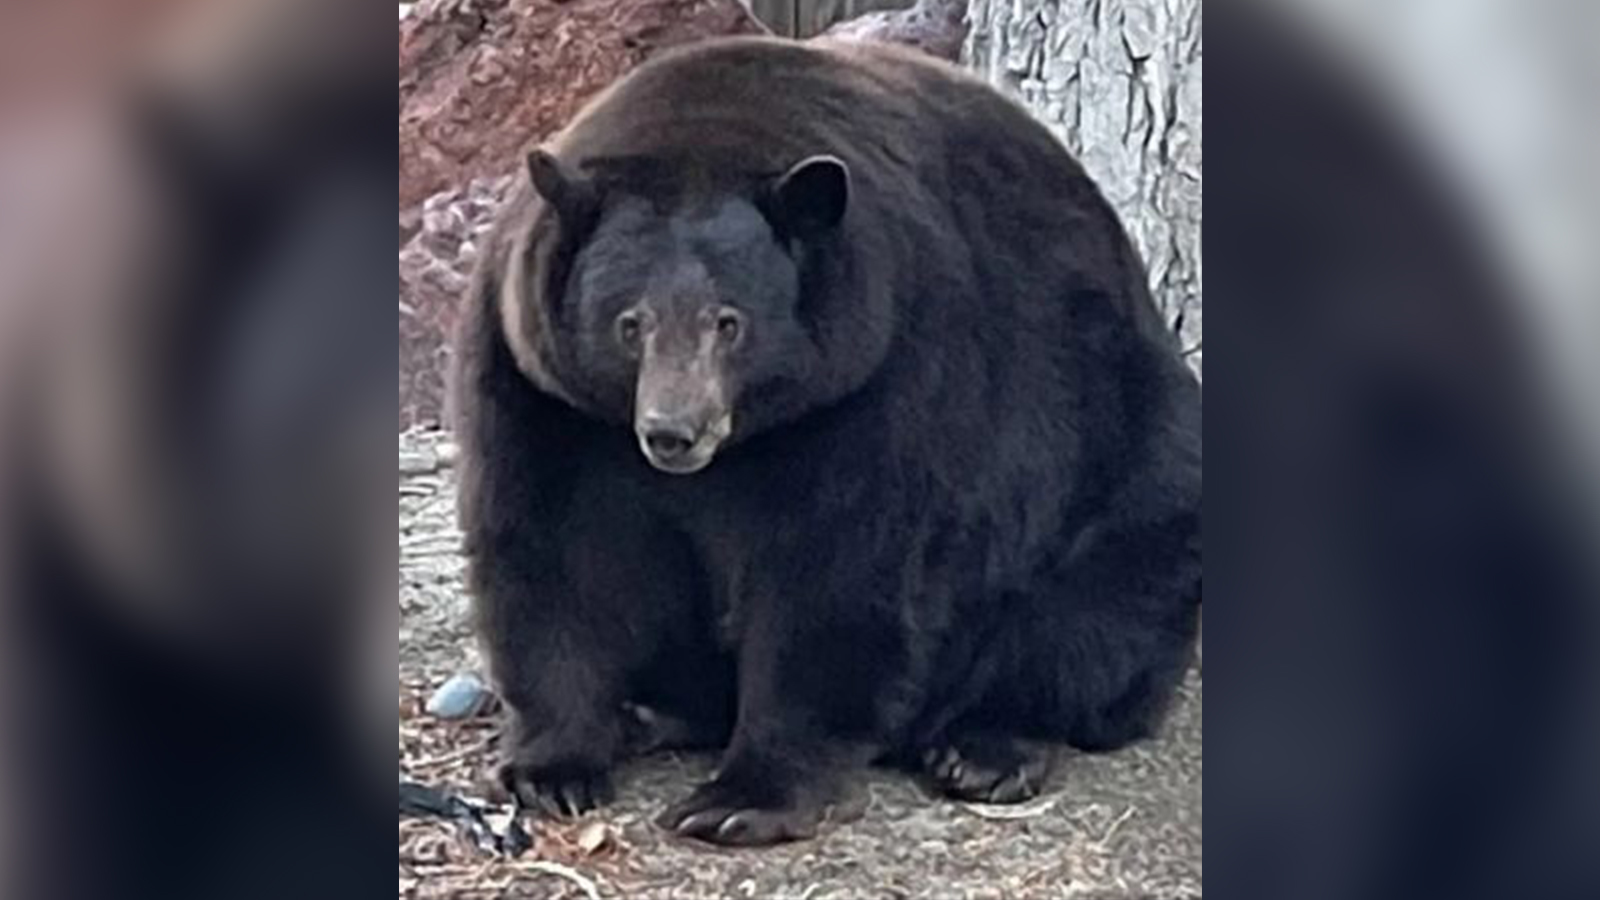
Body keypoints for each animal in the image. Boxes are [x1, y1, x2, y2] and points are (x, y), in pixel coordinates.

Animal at [451, 35, 1202, 847]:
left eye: (729, 321)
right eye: (630, 323)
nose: (673, 432)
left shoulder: (882, 373)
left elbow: (838, 570)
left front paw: (740, 798)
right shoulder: (540, 386)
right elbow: (554, 548)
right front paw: (553, 768)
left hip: (1122, 456)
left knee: (1096, 608)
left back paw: (986, 747)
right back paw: (652, 712)